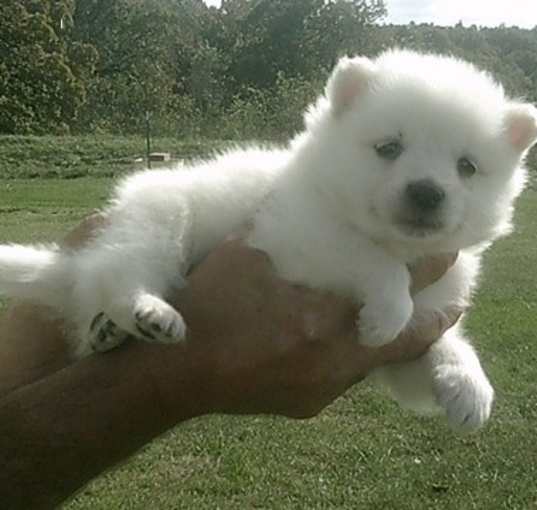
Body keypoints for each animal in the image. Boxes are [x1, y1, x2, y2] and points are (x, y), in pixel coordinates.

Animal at [1, 49, 536, 430]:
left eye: (467, 167)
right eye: (389, 148)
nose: (427, 191)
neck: (401, 246)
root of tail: (78, 261)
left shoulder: (414, 337)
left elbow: (440, 345)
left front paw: (469, 386)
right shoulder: (295, 236)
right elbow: (373, 265)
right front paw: (385, 314)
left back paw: (107, 332)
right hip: (159, 224)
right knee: (120, 273)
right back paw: (148, 312)